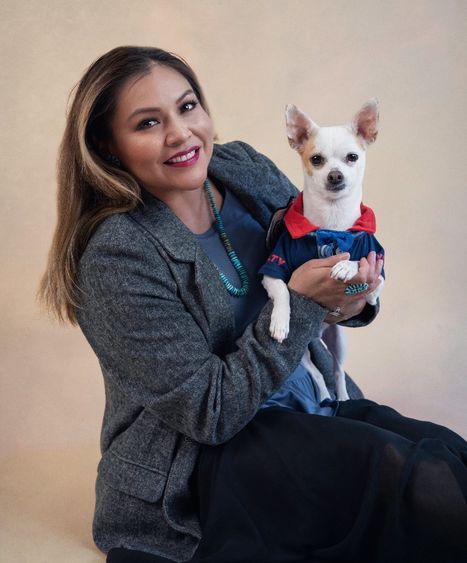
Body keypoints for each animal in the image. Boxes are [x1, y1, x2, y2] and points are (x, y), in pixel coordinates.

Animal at [262, 100, 386, 400]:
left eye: (352, 157)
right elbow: (283, 290)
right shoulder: (272, 271)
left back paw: (341, 398)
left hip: (338, 340)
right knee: (318, 373)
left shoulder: (378, 273)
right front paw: (280, 321)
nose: (335, 175)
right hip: (301, 355)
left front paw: (346, 266)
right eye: (316, 159)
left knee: (338, 372)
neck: (332, 221)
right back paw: (326, 397)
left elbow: (367, 276)